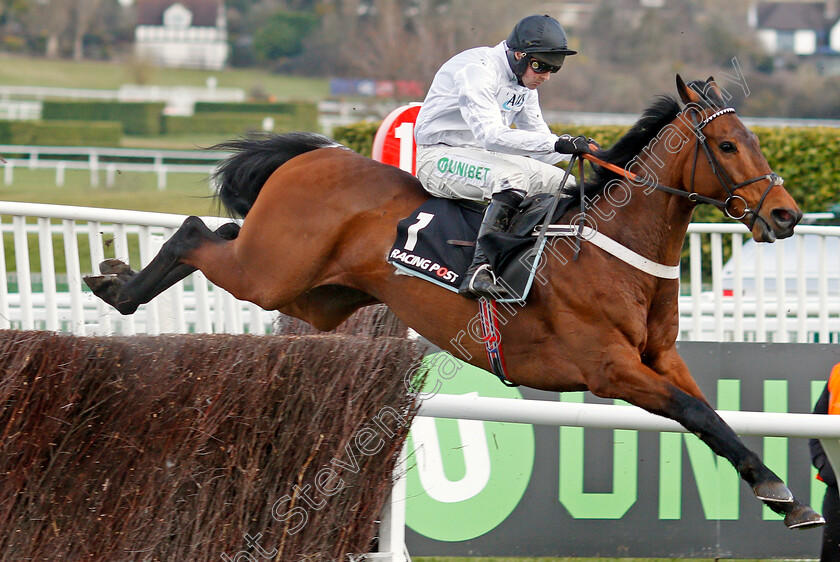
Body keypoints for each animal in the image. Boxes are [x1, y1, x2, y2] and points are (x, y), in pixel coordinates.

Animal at [83, 76, 820, 528]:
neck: (608, 250)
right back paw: (116, 285)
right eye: (727, 144)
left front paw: (777, 490)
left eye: (756, 140)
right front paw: (778, 490)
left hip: (315, 294)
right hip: (268, 274)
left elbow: (715, 414)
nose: (785, 215)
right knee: (192, 233)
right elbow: (695, 413)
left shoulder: (660, 359)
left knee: (222, 235)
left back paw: (117, 281)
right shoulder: (610, 369)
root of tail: (314, 155)